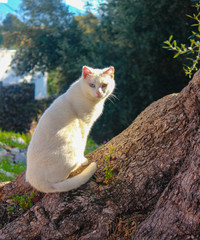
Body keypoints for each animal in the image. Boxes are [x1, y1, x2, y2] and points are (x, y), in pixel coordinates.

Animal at [25, 65, 115, 193]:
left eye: (104, 85)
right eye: (92, 85)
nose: (98, 92)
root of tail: (36, 182)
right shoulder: (84, 125)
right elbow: (84, 143)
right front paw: (83, 159)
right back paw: (80, 162)